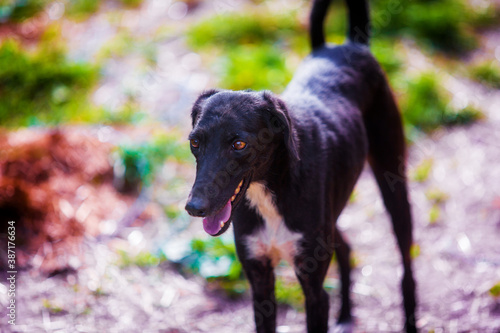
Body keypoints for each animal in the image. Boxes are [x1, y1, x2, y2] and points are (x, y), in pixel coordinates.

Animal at [186, 0, 416, 330]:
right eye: (195, 142)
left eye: (238, 144)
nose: (194, 208)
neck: (271, 191)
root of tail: (348, 45)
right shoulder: (261, 284)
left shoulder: (314, 291)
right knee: (346, 246)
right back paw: (345, 315)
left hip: (393, 187)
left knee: (407, 269)